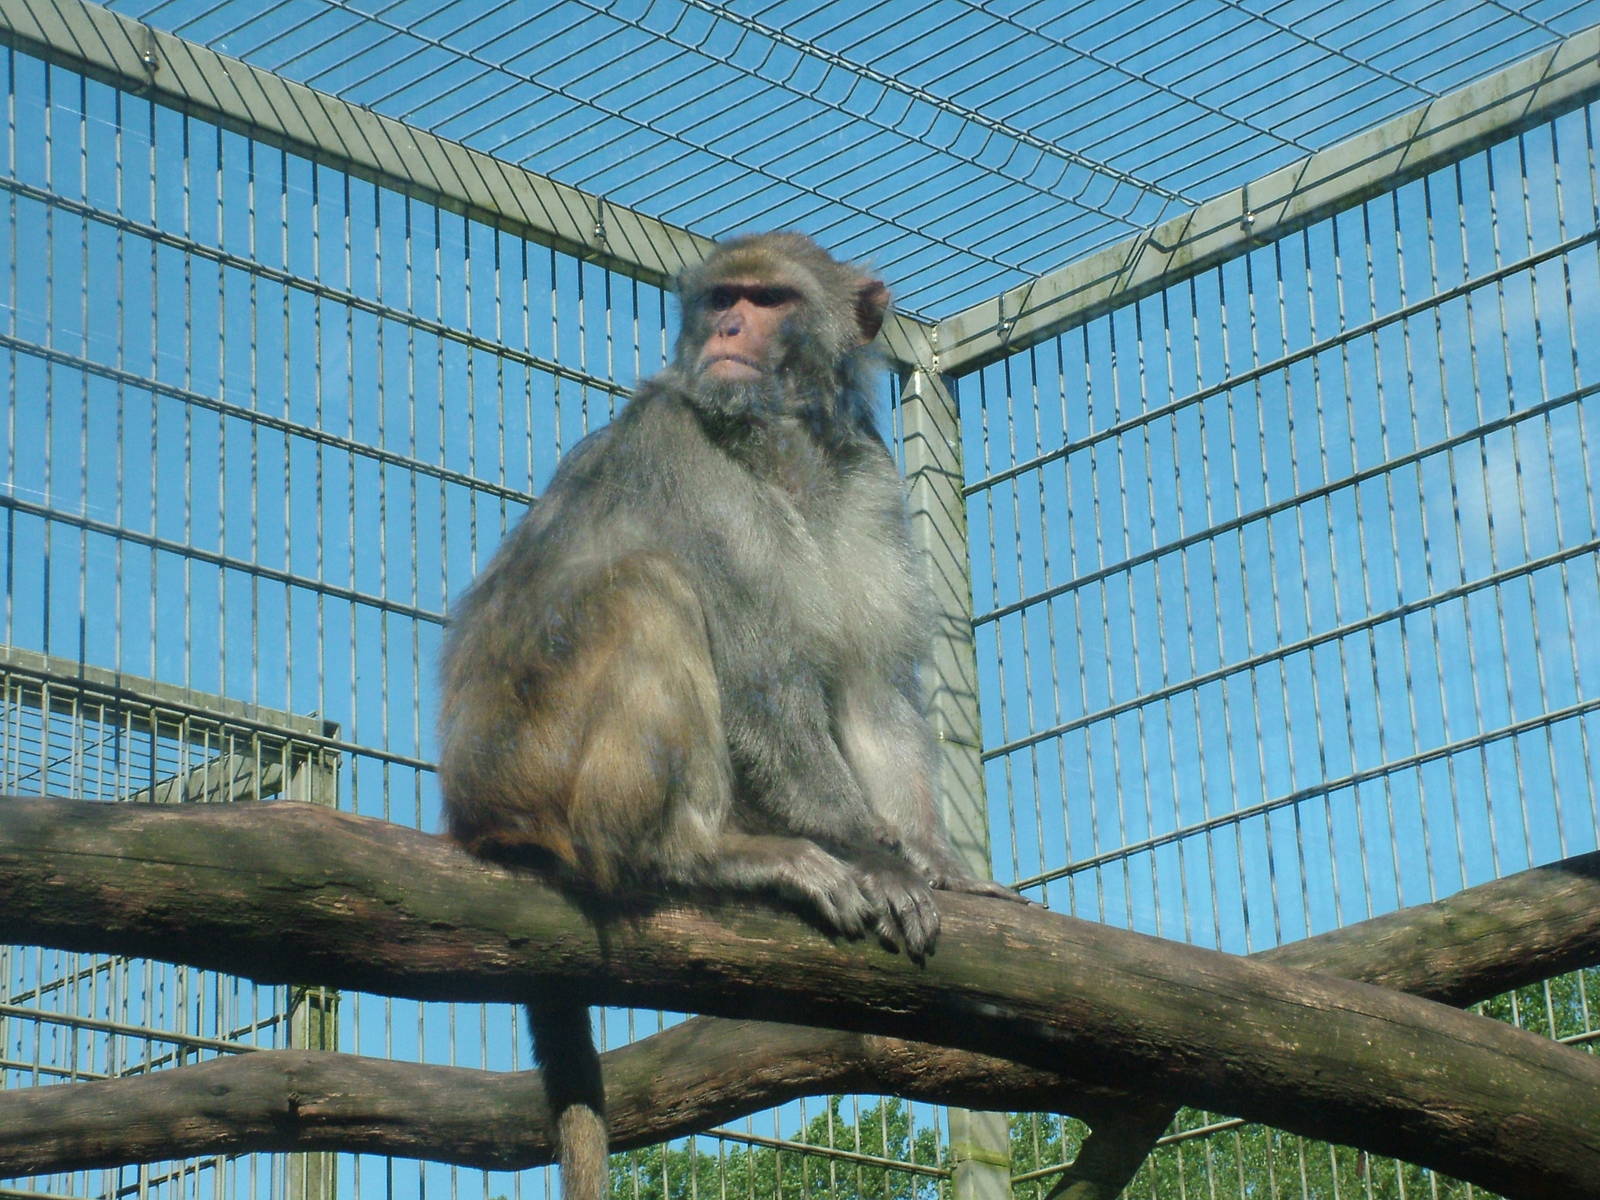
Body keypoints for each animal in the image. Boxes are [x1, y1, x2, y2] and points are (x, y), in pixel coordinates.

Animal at [437, 232, 1020, 1200]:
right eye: (722, 299)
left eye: (769, 300)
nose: (730, 330)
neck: (782, 442)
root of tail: (466, 809)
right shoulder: (690, 467)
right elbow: (758, 679)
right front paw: (871, 852)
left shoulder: (867, 475)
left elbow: (869, 689)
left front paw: (935, 860)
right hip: (532, 756)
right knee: (649, 587)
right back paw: (694, 851)